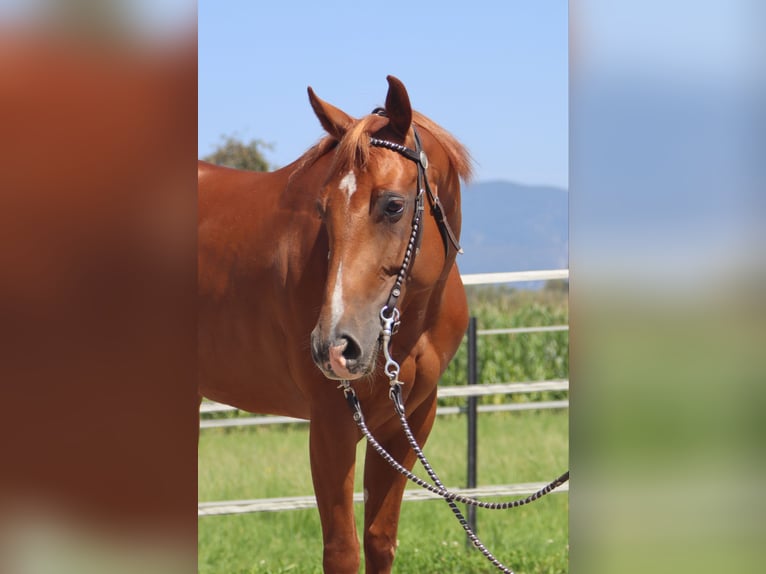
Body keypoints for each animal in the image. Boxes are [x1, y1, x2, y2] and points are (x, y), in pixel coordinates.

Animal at [198, 76, 474, 574]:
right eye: (323, 210)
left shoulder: (409, 421)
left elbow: (379, 540)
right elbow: (342, 551)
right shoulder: (333, 423)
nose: (334, 348)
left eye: (393, 205)